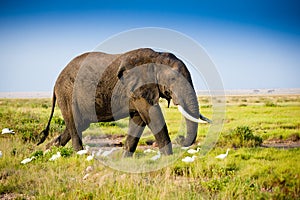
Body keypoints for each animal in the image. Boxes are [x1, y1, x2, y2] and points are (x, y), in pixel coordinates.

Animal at [37, 48, 211, 156]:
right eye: (173, 79)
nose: (180, 139)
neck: (157, 56)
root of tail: (55, 82)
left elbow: (139, 120)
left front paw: (124, 159)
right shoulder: (139, 87)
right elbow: (153, 116)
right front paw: (167, 159)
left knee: (77, 125)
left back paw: (44, 151)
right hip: (67, 93)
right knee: (75, 125)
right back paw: (80, 155)